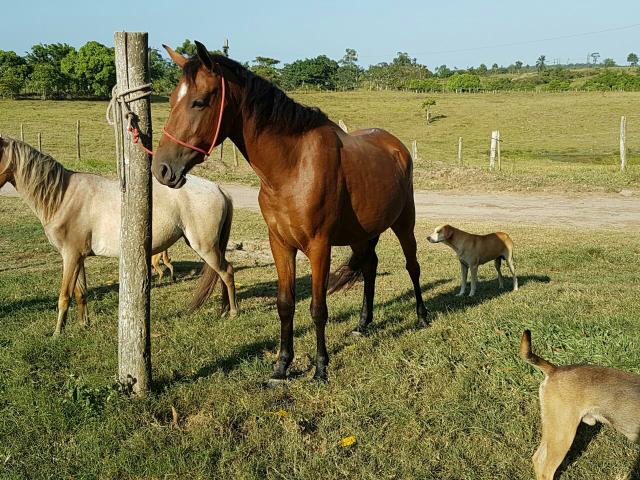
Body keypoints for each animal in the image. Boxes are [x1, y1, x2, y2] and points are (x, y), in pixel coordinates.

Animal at [0, 137, 237, 335]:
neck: (63, 197)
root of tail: (218, 188)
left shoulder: (70, 256)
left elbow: (64, 296)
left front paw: (58, 333)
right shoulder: (78, 257)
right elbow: (80, 293)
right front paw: (83, 325)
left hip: (205, 246)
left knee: (226, 272)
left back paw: (233, 312)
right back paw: (225, 309)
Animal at [151, 41, 428, 382]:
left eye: (199, 102)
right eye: (171, 99)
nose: (162, 169)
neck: (292, 166)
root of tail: (395, 145)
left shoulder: (319, 246)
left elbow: (318, 308)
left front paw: (320, 367)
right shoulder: (280, 244)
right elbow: (285, 304)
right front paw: (282, 366)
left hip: (404, 223)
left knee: (412, 266)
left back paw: (422, 316)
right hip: (362, 233)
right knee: (370, 266)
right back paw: (363, 324)